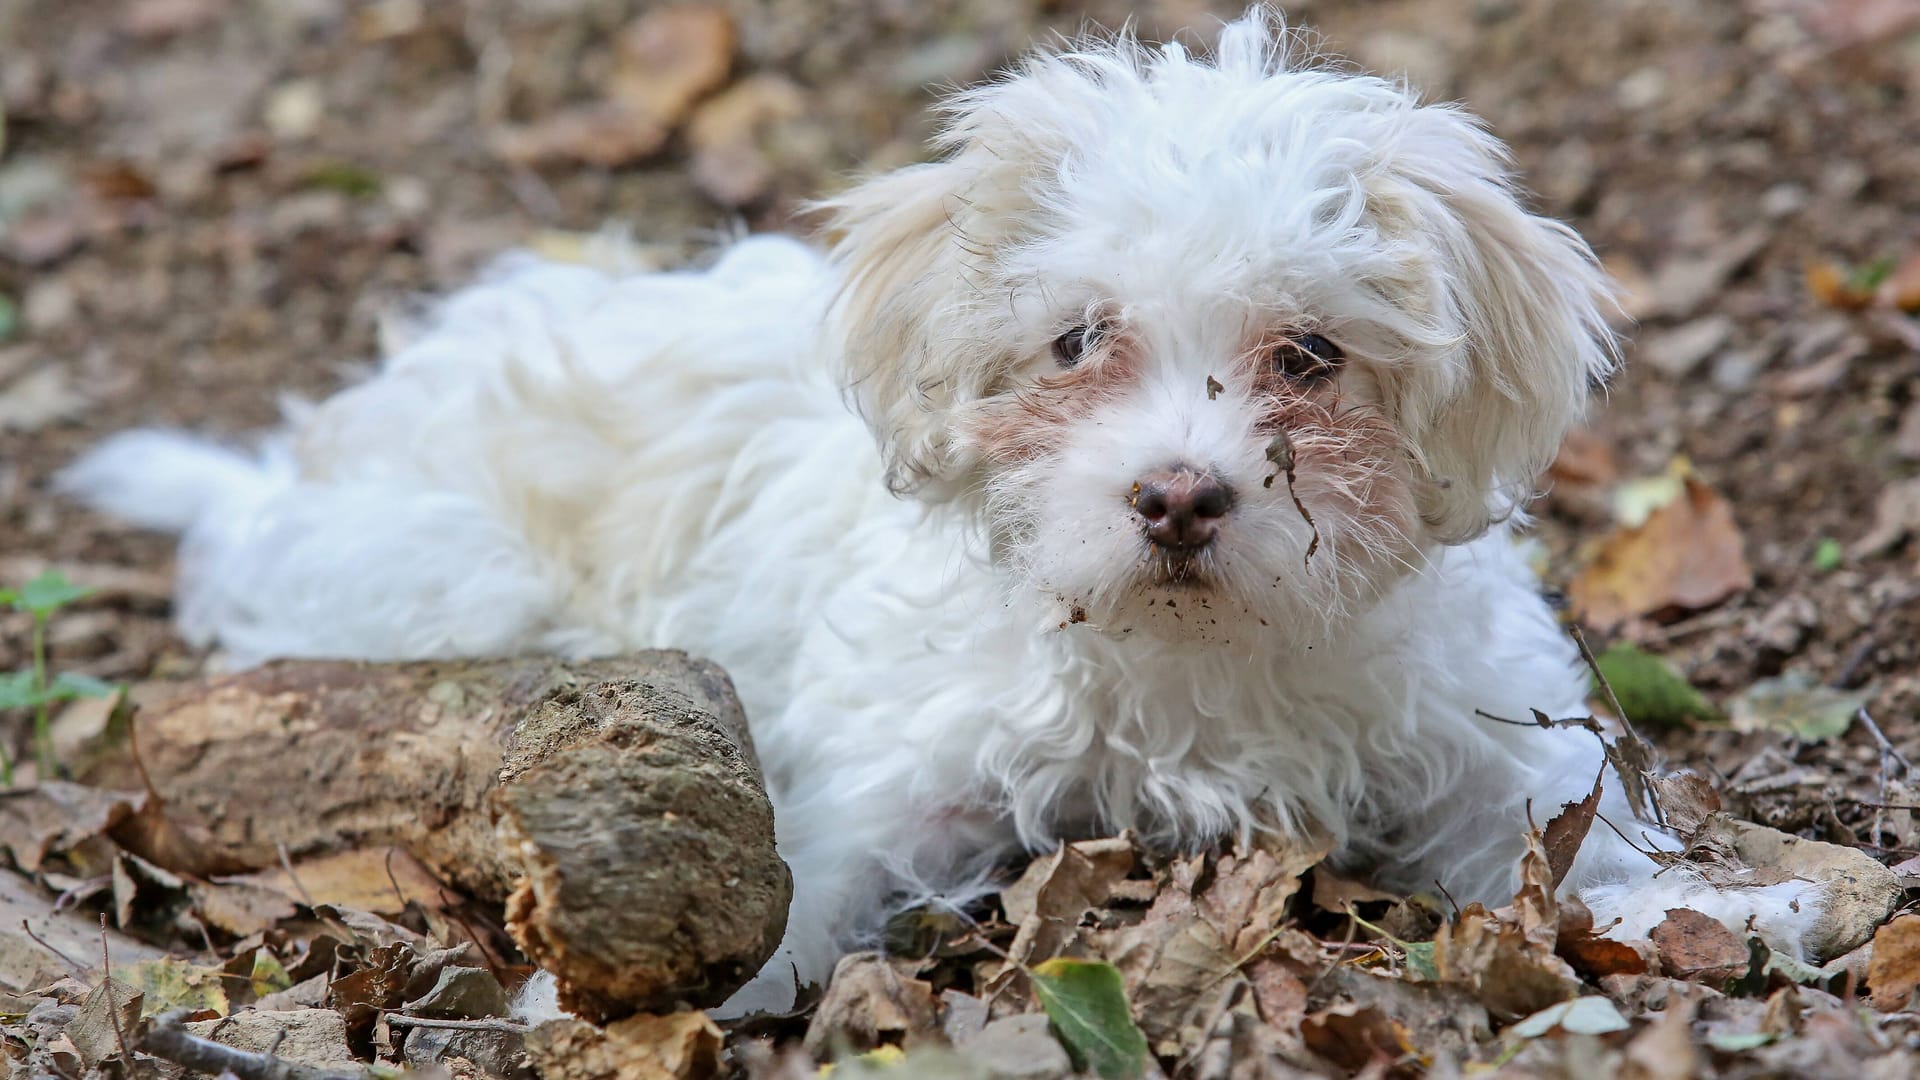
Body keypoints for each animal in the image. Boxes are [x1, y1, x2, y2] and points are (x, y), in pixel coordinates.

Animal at [67, 8, 1820, 1014]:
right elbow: (799, 880)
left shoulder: (1472, 731)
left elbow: (1568, 824)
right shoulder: (890, 785)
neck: (1192, 651)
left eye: (1309, 358)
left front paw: (1707, 904)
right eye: (1078, 343)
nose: (1179, 493)